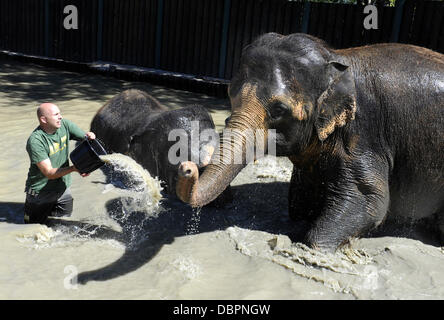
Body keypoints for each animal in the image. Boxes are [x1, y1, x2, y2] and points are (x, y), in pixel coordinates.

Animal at [177, 33, 444, 252]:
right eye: (230, 94)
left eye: (279, 110)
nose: (187, 167)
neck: (337, 58)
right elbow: (299, 204)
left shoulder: (364, 133)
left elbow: (370, 201)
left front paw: (312, 245)